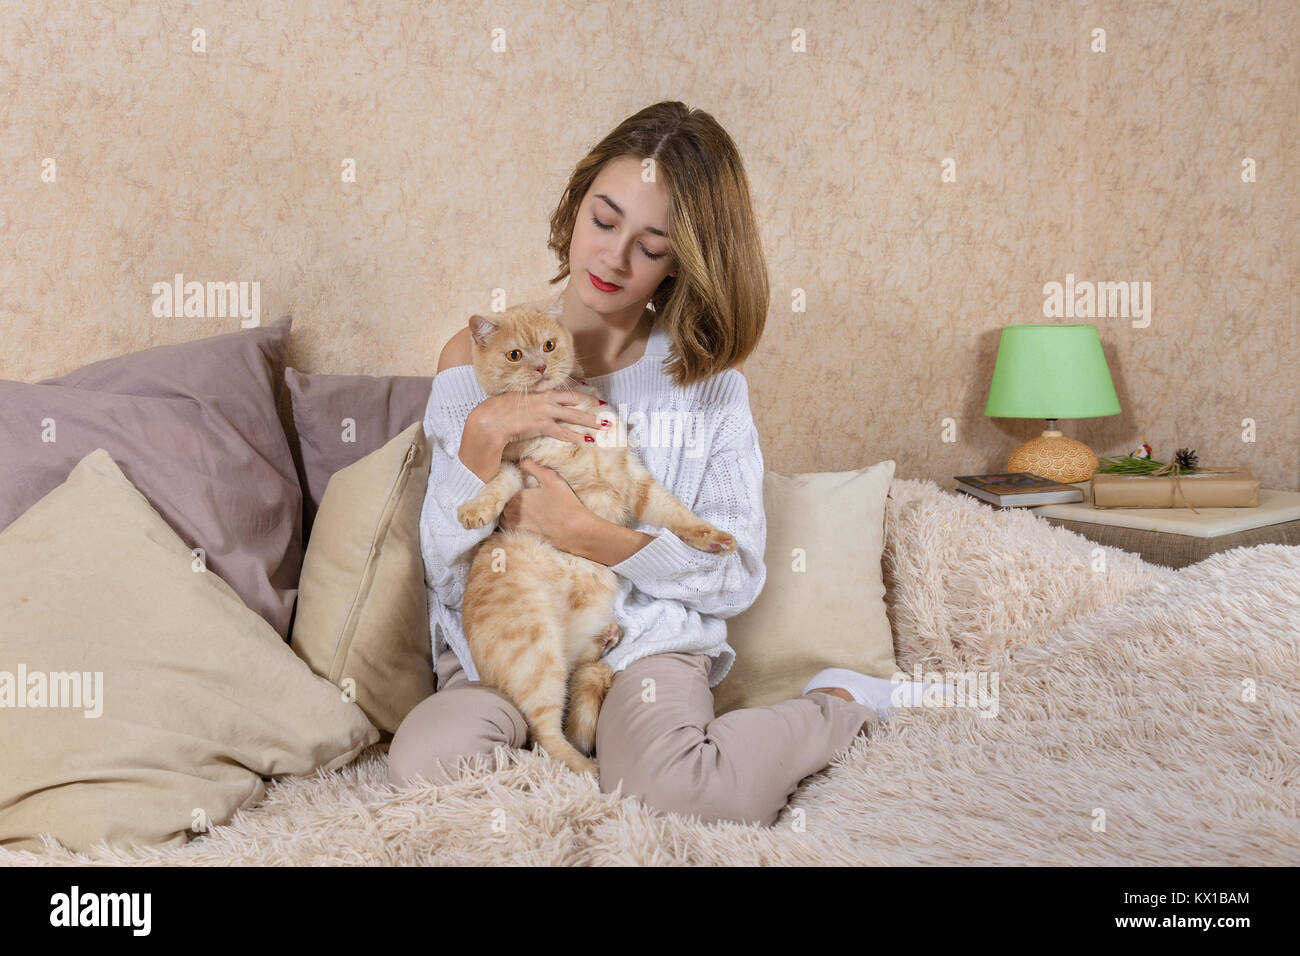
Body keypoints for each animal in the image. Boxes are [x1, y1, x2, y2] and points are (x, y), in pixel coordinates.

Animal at [452, 306, 738, 780]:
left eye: (548, 346)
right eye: (515, 355)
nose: (541, 367)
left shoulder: (636, 481)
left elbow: (678, 516)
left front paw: (714, 541)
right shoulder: (520, 469)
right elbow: (496, 485)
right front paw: (473, 511)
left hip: (572, 656)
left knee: (580, 687)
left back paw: (606, 643)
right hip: (536, 649)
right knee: (545, 737)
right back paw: (591, 772)